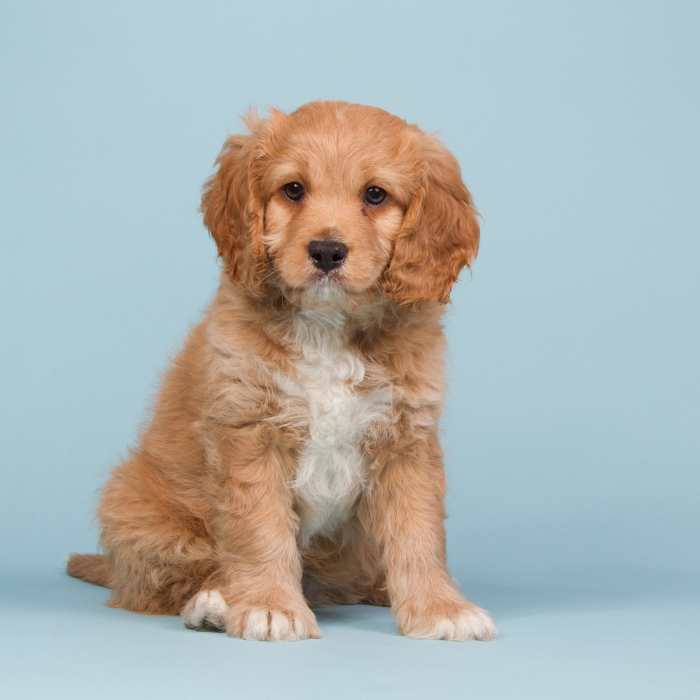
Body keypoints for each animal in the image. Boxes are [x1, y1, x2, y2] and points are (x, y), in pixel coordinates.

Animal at [64, 101, 492, 644]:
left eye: (375, 195)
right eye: (293, 189)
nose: (327, 251)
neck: (328, 327)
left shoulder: (405, 439)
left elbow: (418, 530)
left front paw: (440, 607)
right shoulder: (250, 432)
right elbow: (259, 529)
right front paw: (269, 606)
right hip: (138, 509)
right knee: (172, 579)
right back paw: (215, 602)